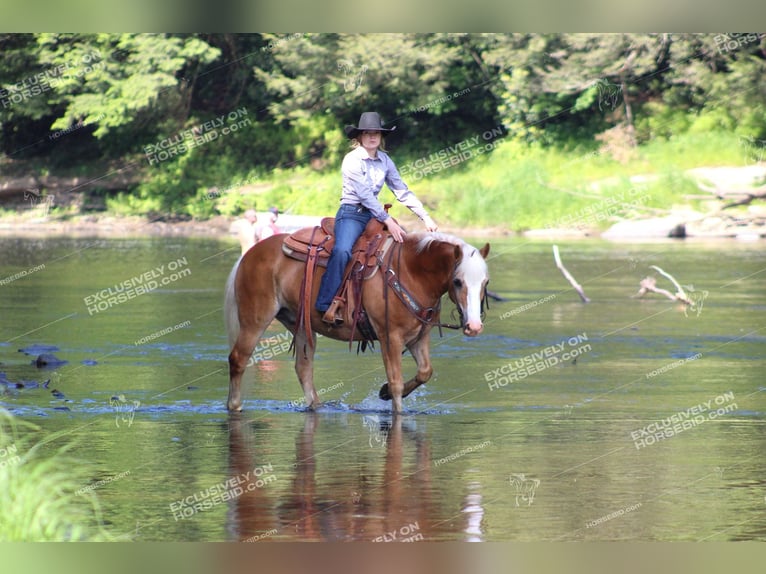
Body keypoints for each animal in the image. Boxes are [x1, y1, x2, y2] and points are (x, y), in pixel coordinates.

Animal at [225, 230, 492, 414]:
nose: (474, 326)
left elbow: (425, 372)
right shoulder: (389, 337)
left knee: (303, 368)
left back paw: (317, 406)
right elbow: (396, 381)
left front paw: (383, 393)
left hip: (300, 324)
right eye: (457, 281)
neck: (409, 271)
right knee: (238, 359)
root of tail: (249, 255)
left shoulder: (418, 338)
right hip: (255, 320)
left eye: (485, 282)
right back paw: (234, 405)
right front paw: (395, 407)